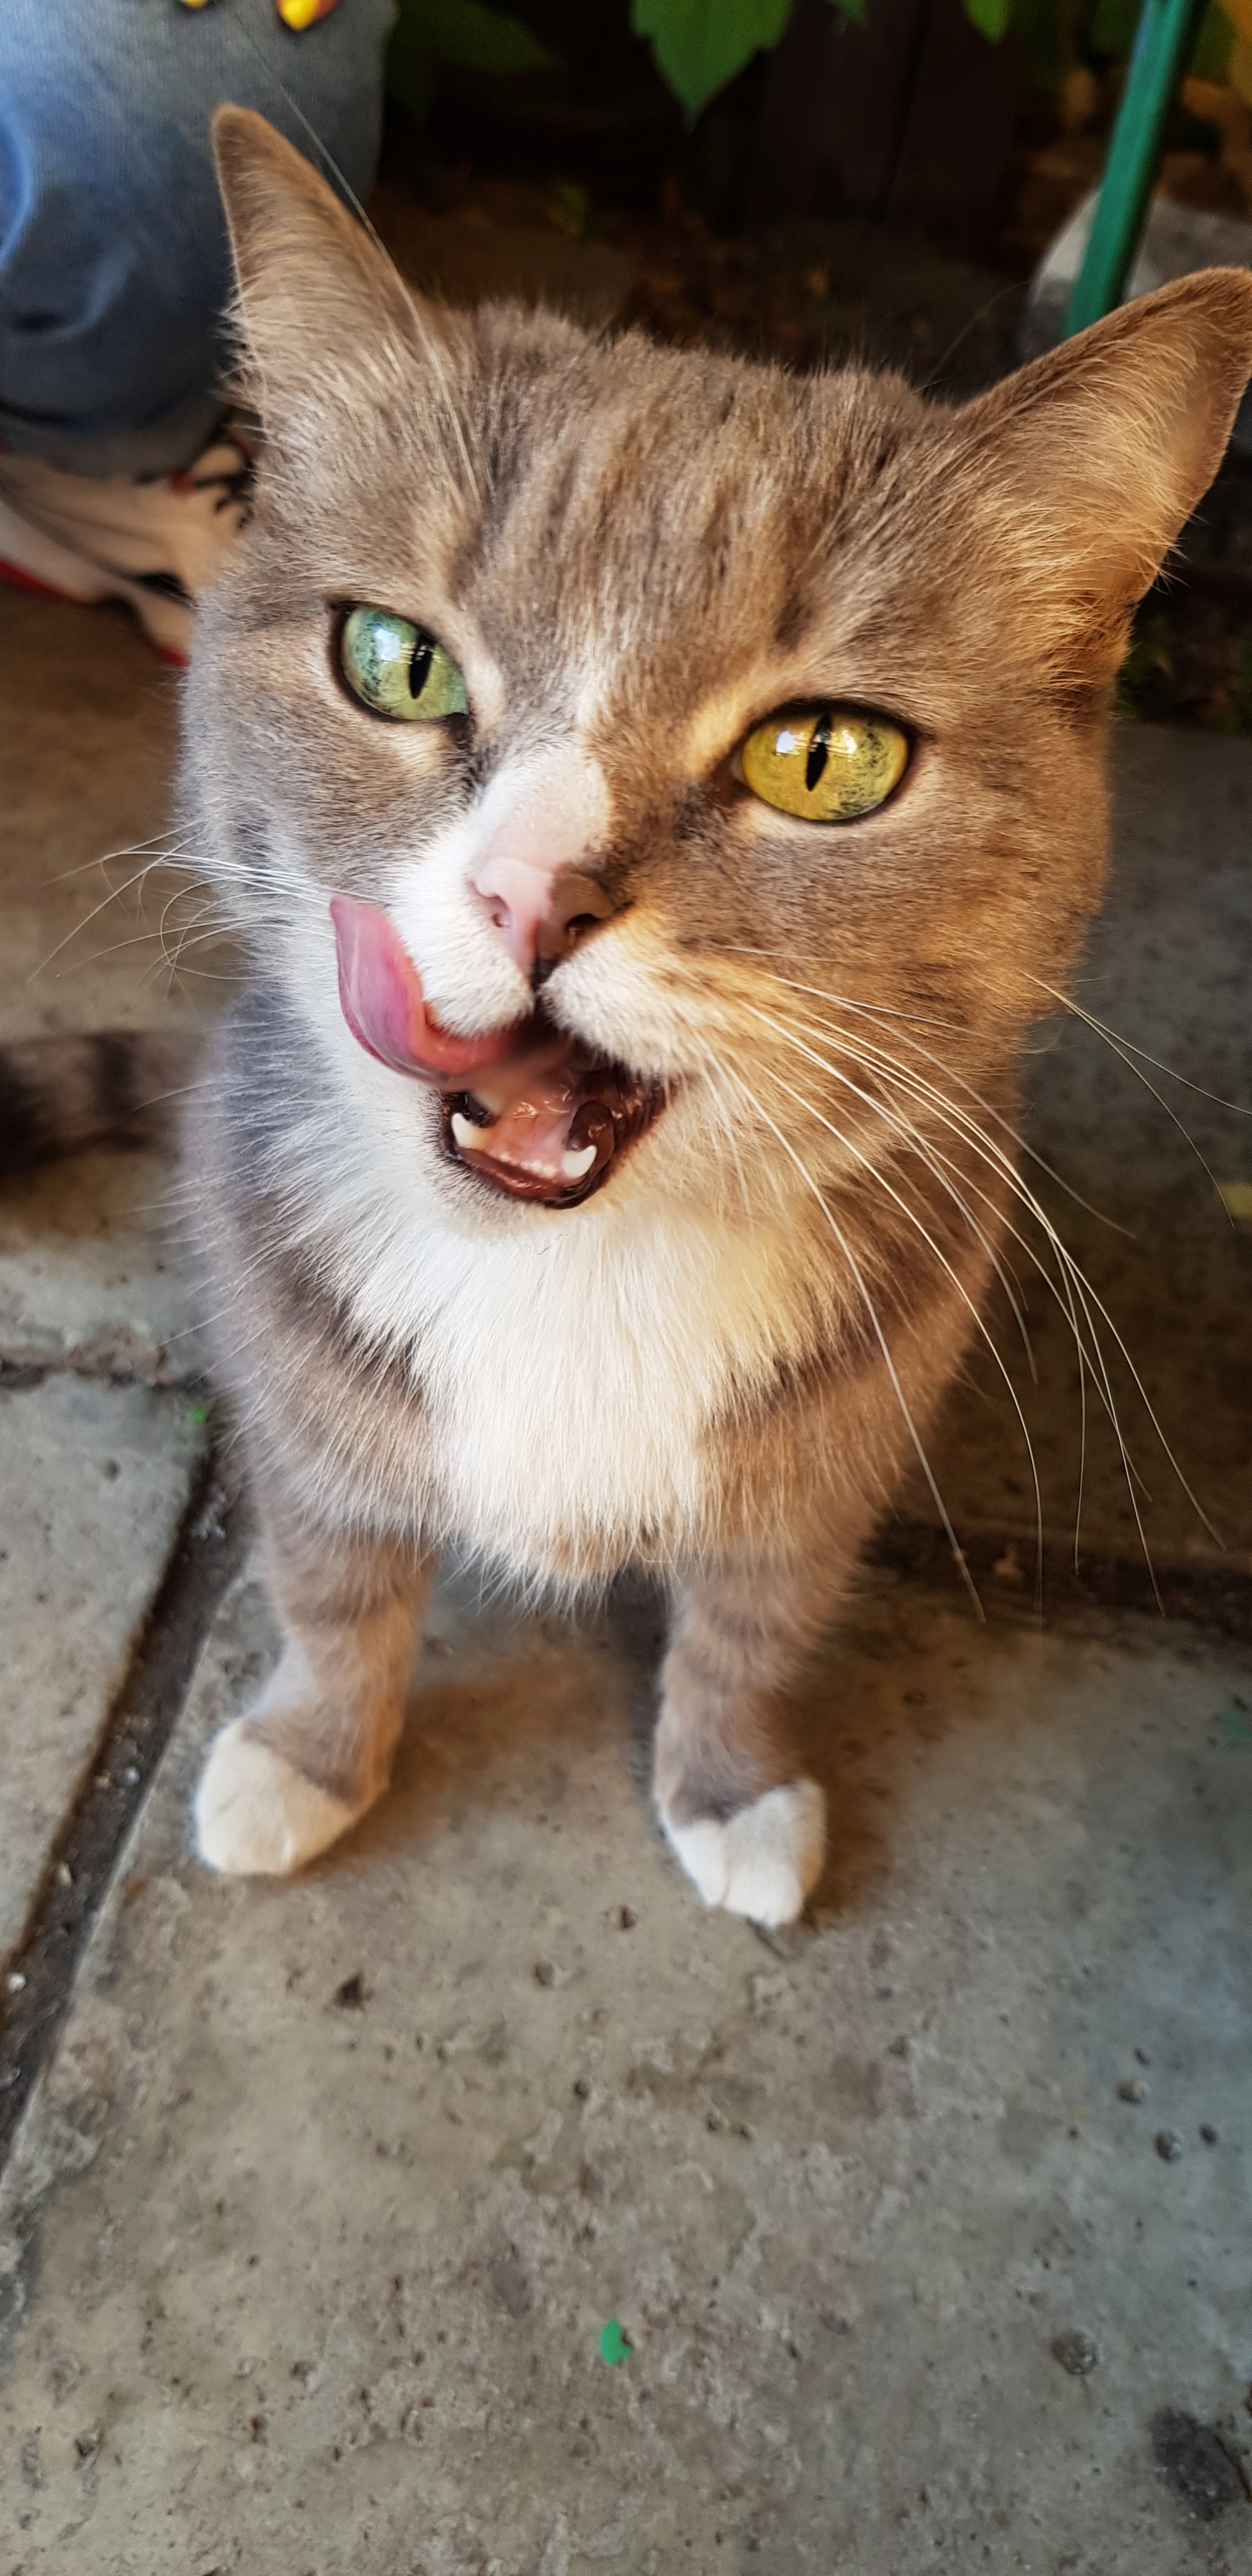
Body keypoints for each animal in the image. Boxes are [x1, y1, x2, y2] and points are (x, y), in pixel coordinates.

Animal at [12, 105, 1252, 1937]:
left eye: (825, 758)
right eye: (394, 661)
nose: (532, 895)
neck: (567, 1279)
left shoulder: (827, 1458)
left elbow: (751, 1627)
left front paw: (729, 1792)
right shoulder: (296, 1388)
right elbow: (330, 1577)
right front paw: (307, 1758)